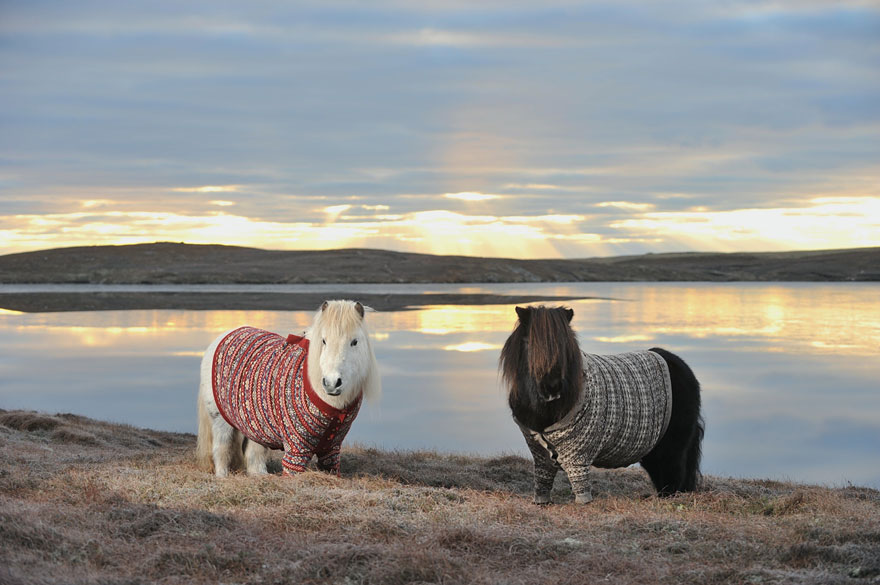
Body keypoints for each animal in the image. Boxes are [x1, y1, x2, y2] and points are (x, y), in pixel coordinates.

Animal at [196, 299, 381, 477]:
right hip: (220, 420)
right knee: (221, 450)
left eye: (354, 342)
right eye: (324, 340)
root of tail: (223, 336)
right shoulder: (296, 449)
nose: (331, 383)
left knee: (254, 455)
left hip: (255, 426)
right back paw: (223, 476)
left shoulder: (331, 450)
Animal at [500, 305, 704, 504]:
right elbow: (542, 481)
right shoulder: (541, 457)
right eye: (530, 344)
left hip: (672, 446)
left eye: (565, 345)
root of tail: (680, 365)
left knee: (674, 474)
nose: (552, 387)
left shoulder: (578, 458)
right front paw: (541, 501)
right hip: (653, 447)